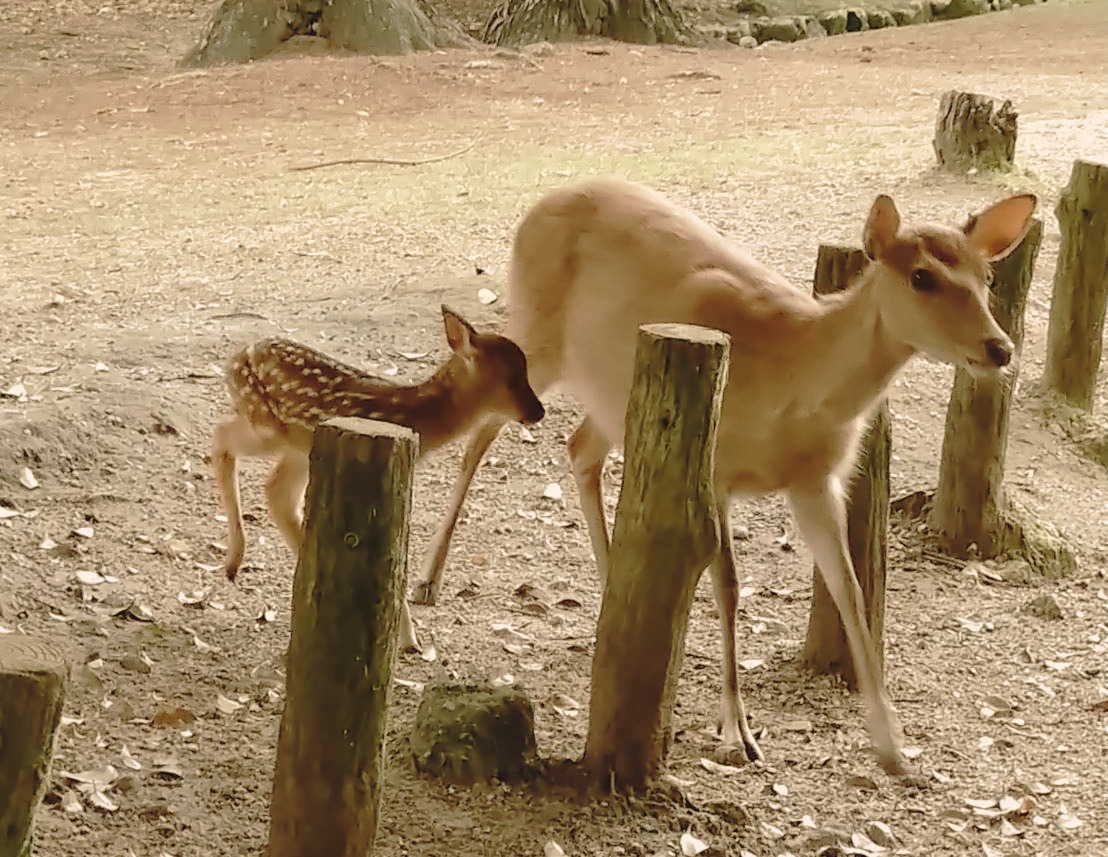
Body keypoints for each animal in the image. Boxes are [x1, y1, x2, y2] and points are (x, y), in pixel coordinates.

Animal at [211, 305, 545, 652]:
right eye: (510, 379)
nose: (538, 411)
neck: (419, 416)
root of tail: (235, 358)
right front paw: (408, 639)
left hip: (297, 444)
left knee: (275, 489)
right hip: (268, 426)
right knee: (223, 437)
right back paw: (236, 560)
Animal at [408, 178, 1036, 777]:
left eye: (986, 276)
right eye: (922, 277)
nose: (1000, 348)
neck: (794, 380)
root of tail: (536, 208)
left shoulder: (816, 481)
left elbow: (851, 588)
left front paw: (894, 749)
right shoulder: (717, 462)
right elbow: (729, 584)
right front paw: (738, 731)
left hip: (613, 390)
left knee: (580, 448)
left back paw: (613, 591)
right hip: (537, 338)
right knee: (483, 431)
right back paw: (428, 580)